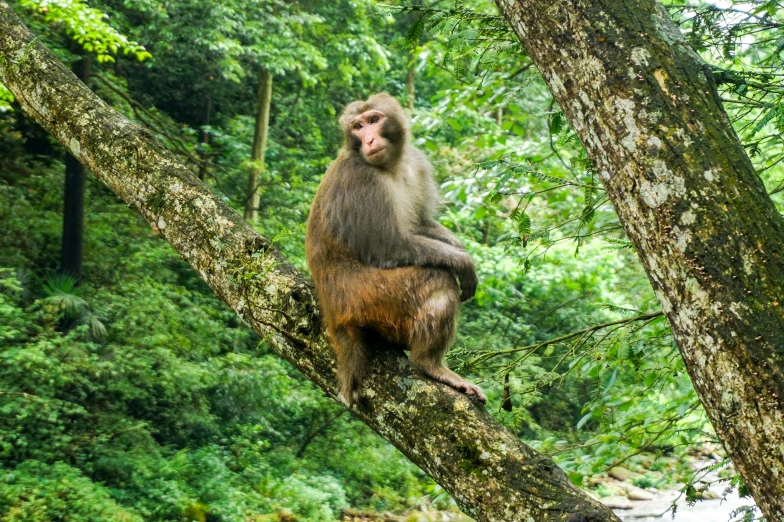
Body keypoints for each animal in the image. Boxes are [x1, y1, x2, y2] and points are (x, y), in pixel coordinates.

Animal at [304, 92, 484, 402]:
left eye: (374, 120)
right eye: (357, 126)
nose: (369, 140)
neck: (390, 166)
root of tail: (333, 313)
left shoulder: (417, 163)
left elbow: (420, 224)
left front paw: (458, 248)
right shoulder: (361, 181)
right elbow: (389, 246)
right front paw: (462, 262)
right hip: (367, 299)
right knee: (436, 280)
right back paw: (429, 364)